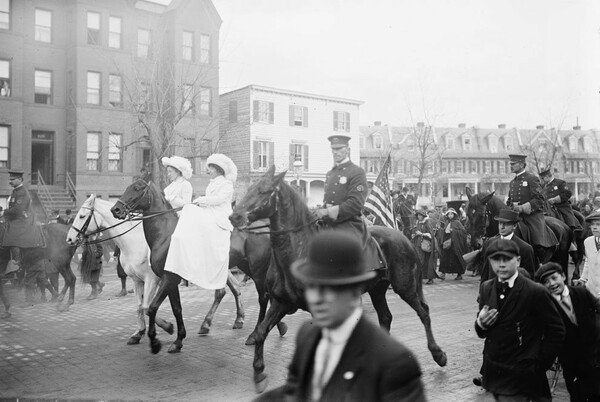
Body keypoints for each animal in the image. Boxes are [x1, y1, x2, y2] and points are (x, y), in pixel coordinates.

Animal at [230, 166, 446, 392]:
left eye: (264, 191)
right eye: (250, 188)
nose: (235, 216)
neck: (298, 251)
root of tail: (404, 237)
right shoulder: (281, 303)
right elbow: (261, 332)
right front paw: (259, 372)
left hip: (405, 287)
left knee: (424, 312)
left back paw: (438, 353)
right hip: (377, 289)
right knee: (386, 317)